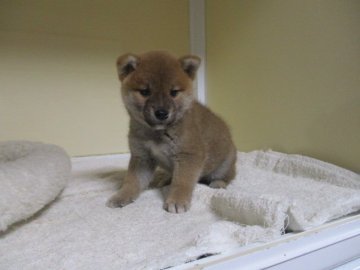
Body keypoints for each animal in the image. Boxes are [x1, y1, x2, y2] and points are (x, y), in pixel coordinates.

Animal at [107, 51, 236, 213]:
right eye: (145, 92)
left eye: (173, 92)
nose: (161, 113)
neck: (157, 134)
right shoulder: (142, 157)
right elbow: (132, 180)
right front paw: (122, 196)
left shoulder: (189, 155)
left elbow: (182, 182)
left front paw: (177, 200)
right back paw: (165, 179)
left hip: (224, 164)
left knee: (229, 176)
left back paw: (219, 183)